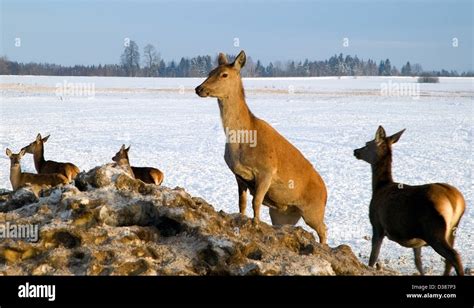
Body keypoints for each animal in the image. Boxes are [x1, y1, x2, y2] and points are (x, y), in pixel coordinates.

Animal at [194, 50, 328, 243]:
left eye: (224, 74)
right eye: (210, 71)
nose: (199, 88)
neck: (242, 142)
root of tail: (326, 194)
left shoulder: (267, 170)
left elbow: (255, 202)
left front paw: (255, 225)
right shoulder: (238, 174)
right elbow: (241, 203)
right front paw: (242, 220)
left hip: (313, 210)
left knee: (324, 229)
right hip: (283, 213)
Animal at [354, 126, 464, 276]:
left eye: (367, 144)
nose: (356, 151)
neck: (379, 187)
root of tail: (456, 202)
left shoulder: (377, 224)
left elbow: (373, 257)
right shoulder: (416, 242)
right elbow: (418, 263)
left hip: (434, 230)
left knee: (454, 256)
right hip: (452, 230)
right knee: (449, 260)